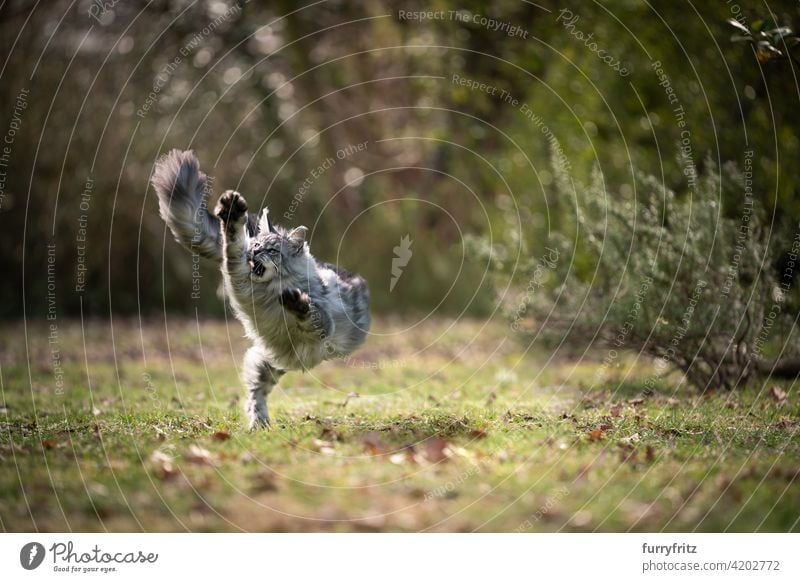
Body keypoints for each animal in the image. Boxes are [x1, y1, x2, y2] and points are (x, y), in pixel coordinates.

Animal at [152, 151, 370, 428]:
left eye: (272, 250)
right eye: (256, 244)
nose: (254, 253)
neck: (269, 292)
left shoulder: (323, 321)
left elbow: (310, 312)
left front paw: (295, 301)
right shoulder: (239, 278)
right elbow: (233, 243)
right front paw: (232, 214)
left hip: (272, 362)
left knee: (257, 391)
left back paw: (260, 423)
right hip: (266, 362)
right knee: (255, 393)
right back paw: (259, 423)